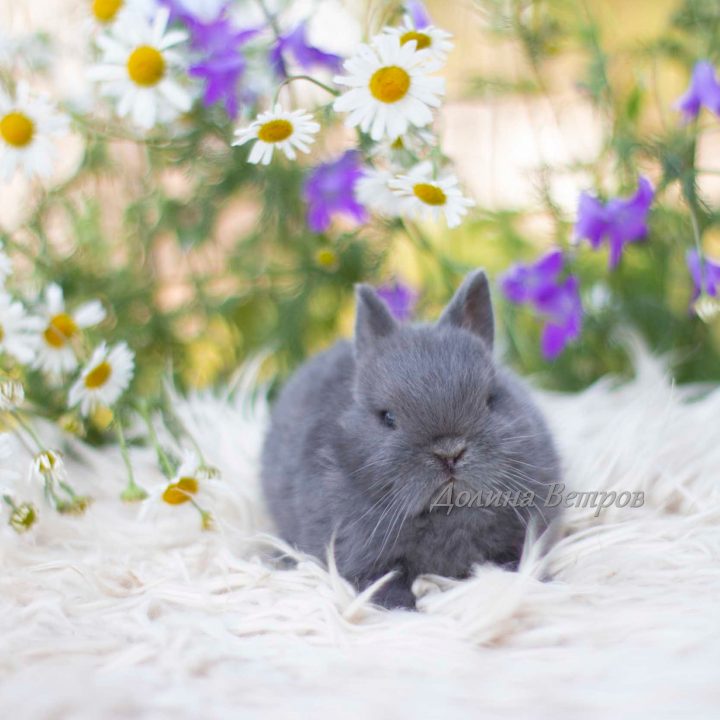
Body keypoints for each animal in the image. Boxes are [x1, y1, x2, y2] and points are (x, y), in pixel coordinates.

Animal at [261, 270, 561, 610]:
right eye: (388, 417)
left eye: (490, 400)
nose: (449, 452)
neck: (447, 514)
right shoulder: (365, 561)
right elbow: (385, 587)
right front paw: (407, 610)